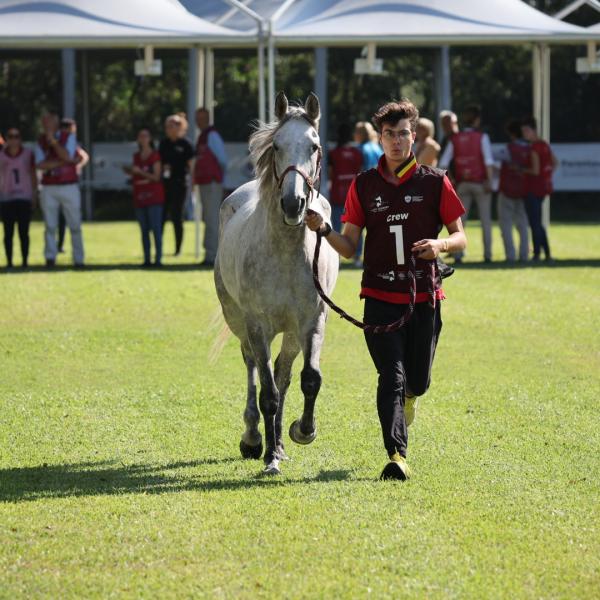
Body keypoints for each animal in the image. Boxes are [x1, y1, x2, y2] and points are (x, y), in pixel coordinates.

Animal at [214, 92, 338, 474]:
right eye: (278, 145)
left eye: (314, 146)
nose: (293, 203)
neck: (284, 252)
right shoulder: (258, 326)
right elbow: (267, 393)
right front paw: (268, 458)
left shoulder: (312, 321)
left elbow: (309, 379)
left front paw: (302, 431)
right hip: (241, 324)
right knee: (254, 368)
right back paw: (255, 439)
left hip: (292, 333)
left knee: (284, 373)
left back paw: (280, 443)